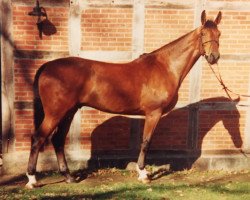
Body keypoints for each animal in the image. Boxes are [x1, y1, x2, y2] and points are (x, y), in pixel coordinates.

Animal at [25, 10, 222, 189]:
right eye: (203, 34)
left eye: (219, 34)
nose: (214, 57)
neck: (165, 67)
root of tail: (47, 66)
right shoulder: (153, 113)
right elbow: (146, 142)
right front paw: (143, 174)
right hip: (56, 113)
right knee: (38, 138)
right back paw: (32, 180)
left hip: (69, 112)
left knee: (58, 140)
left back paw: (68, 177)